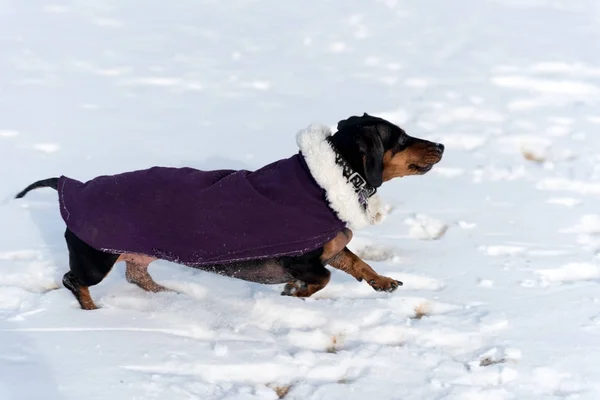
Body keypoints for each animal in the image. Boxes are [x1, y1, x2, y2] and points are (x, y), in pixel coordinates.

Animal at [16, 112, 442, 310]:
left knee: (137, 275)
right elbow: (321, 279)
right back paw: (93, 310)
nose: (440, 144)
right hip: (95, 258)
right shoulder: (301, 257)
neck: (329, 179)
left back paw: (166, 293)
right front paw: (294, 293)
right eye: (400, 138)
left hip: (135, 253)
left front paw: (383, 282)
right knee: (74, 279)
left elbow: (357, 263)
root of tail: (71, 185)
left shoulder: (332, 247)